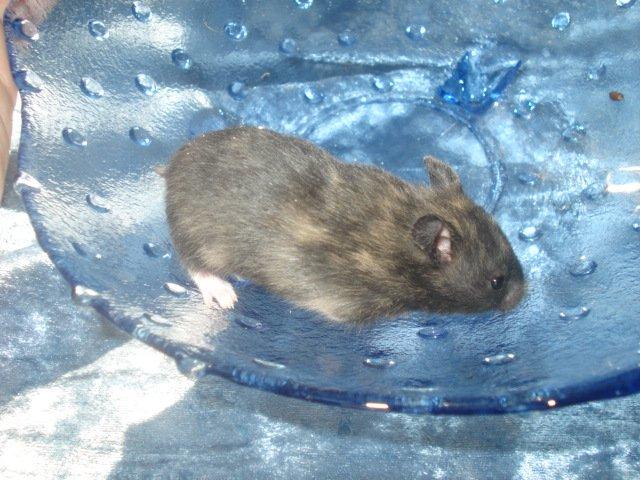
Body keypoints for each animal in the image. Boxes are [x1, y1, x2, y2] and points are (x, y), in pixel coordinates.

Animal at [164, 126, 525, 324]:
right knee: (194, 265)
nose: (525, 293)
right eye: (496, 282)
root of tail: (169, 169)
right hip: (200, 240)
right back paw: (226, 296)